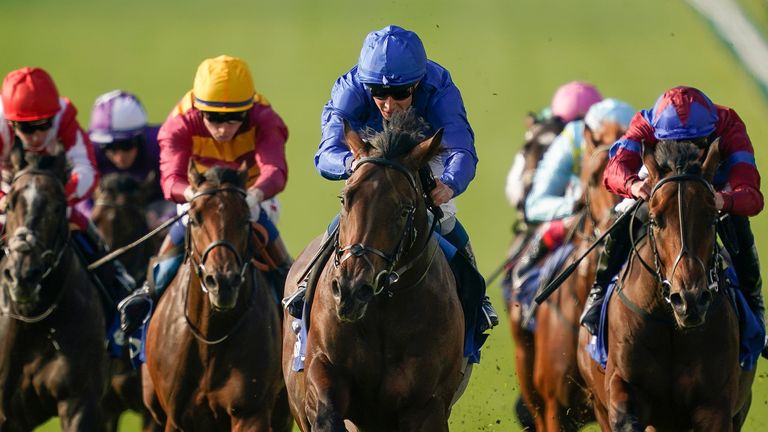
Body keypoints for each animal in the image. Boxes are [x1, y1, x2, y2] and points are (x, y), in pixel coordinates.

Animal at [0, 147, 108, 430]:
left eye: (59, 207)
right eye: (10, 204)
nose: (22, 275)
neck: (34, 322)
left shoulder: (80, 402)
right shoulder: (6, 414)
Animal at [142, 163, 292, 432]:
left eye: (245, 219)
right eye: (194, 218)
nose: (223, 282)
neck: (210, 336)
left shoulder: (250, 413)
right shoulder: (177, 418)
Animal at [282, 109, 462, 430]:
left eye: (404, 209)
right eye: (345, 198)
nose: (351, 290)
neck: (383, 313)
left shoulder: (427, 405)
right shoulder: (323, 371)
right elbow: (327, 412)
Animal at [580, 141, 752, 428]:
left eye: (711, 217)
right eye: (655, 219)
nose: (690, 300)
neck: (670, 322)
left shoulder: (715, 404)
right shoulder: (622, 385)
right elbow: (626, 417)